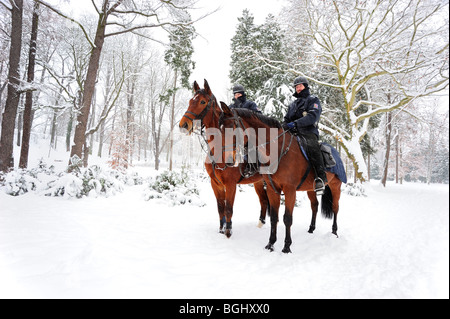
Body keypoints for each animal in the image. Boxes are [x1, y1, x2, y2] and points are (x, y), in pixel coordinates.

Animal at [178, 81, 268, 239]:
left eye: (202, 101)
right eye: (190, 101)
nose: (183, 125)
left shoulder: (231, 184)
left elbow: (228, 208)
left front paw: (228, 231)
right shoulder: (215, 184)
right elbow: (220, 208)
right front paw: (221, 228)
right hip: (258, 181)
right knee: (263, 201)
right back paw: (260, 223)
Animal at [219, 104, 344, 254]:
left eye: (231, 127)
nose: (227, 159)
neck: (278, 150)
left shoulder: (290, 190)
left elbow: (287, 218)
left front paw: (286, 247)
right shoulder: (273, 189)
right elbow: (274, 218)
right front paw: (270, 244)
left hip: (336, 186)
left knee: (335, 207)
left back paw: (334, 232)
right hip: (310, 189)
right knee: (314, 206)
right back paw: (311, 229)